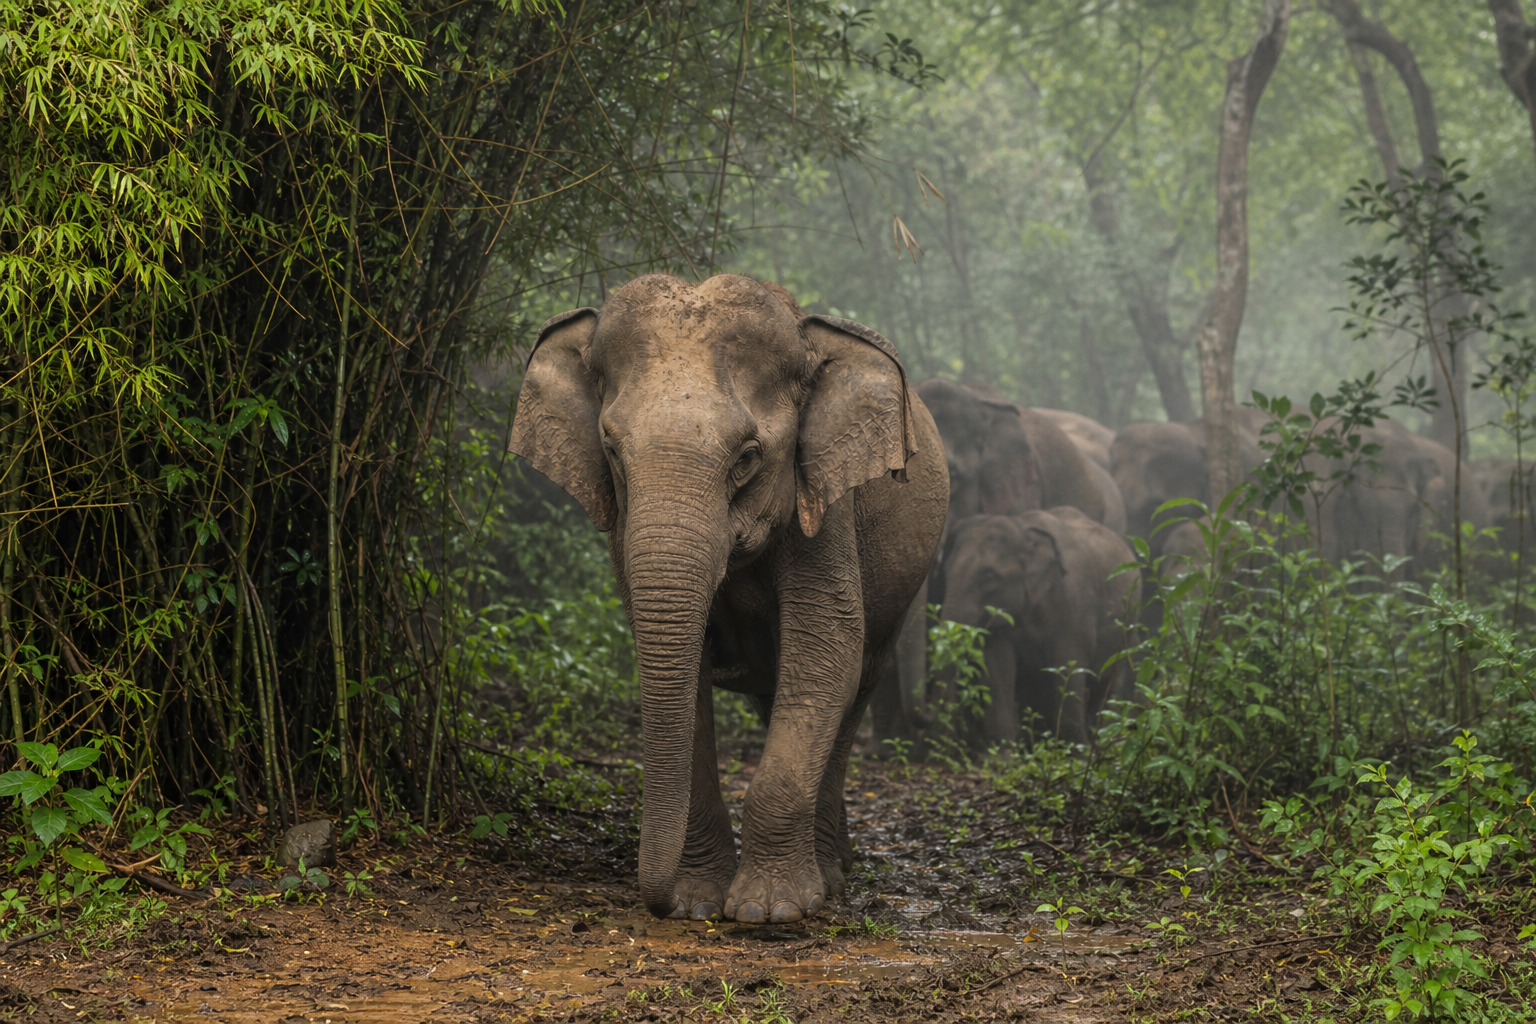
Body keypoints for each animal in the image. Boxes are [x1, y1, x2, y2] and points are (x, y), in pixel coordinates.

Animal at [509, 274, 948, 924]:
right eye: (611, 451)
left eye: (747, 457)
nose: (659, 903)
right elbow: (677, 666)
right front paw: (698, 904)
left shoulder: (825, 505)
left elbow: (825, 654)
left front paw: (770, 912)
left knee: (855, 689)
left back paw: (833, 874)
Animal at [939, 508, 1140, 745]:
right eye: (945, 571)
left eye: (989, 576)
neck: (1022, 529)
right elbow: (997, 669)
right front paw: (1004, 754)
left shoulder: (1073, 607)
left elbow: (1068, 668)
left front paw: (1076, 750)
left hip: (1128, 625)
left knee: (1110, 679)